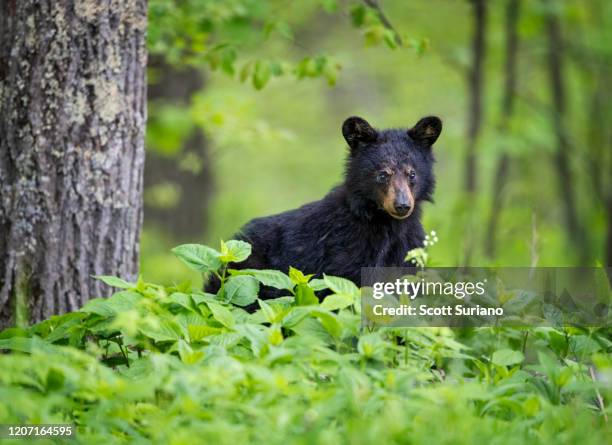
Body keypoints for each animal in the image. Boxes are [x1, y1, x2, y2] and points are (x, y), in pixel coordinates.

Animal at [208, 116, 442, 294]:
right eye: (382, 174)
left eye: (412, 174)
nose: (402, 205)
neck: (386, 224)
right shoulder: (344, 252)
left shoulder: (410, 249)